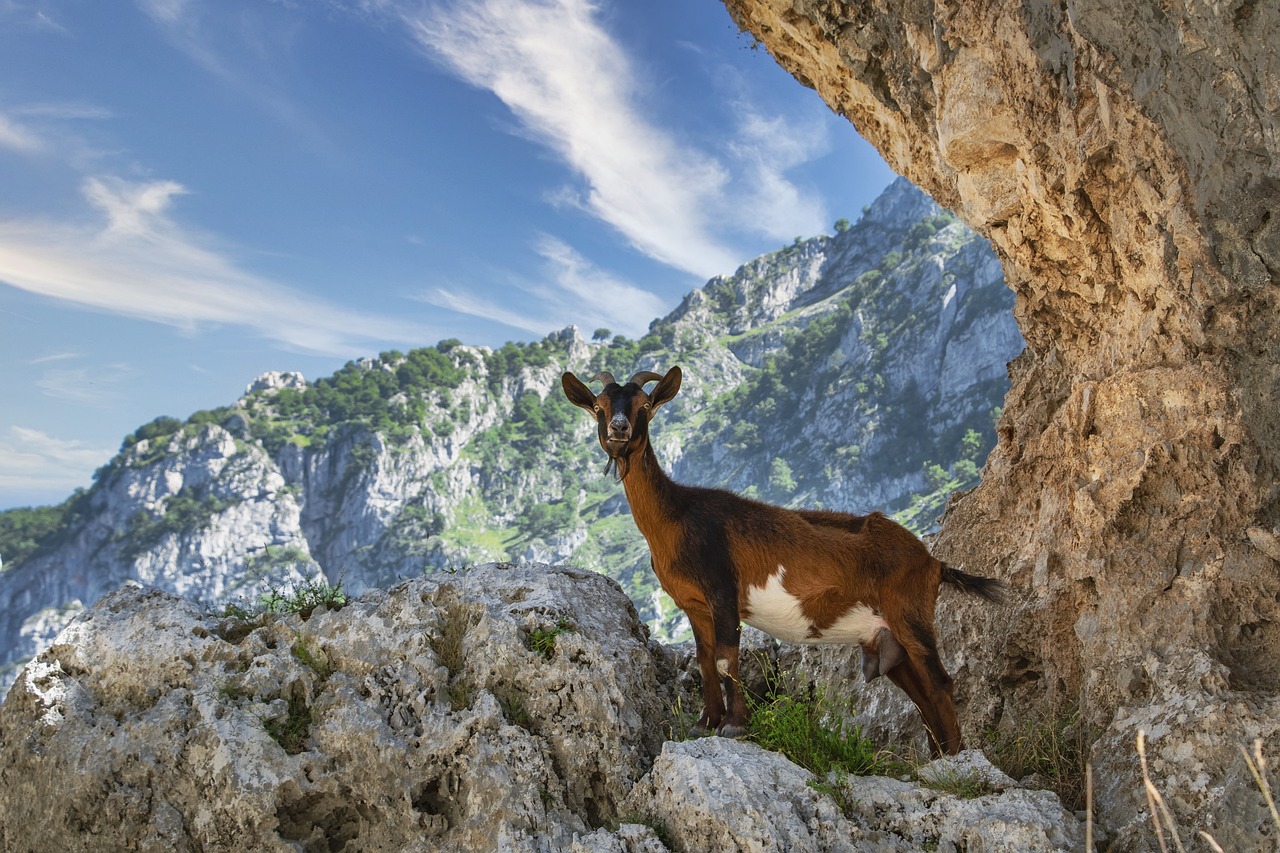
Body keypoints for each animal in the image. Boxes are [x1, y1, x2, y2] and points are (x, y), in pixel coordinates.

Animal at [565, 361, 1003, 753]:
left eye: (644, 406)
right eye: (599, 407)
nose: (619, 430)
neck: (678, 516)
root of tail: (933, 563)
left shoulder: (724, 591)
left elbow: (725, 660)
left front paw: (735, 725)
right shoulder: (694, 604)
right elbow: (705, 661)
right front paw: (706, 722)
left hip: (910, 613)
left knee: (940, 683)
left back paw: (955, 760)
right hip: (887, 639)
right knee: (922, 694)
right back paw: (938, 756)